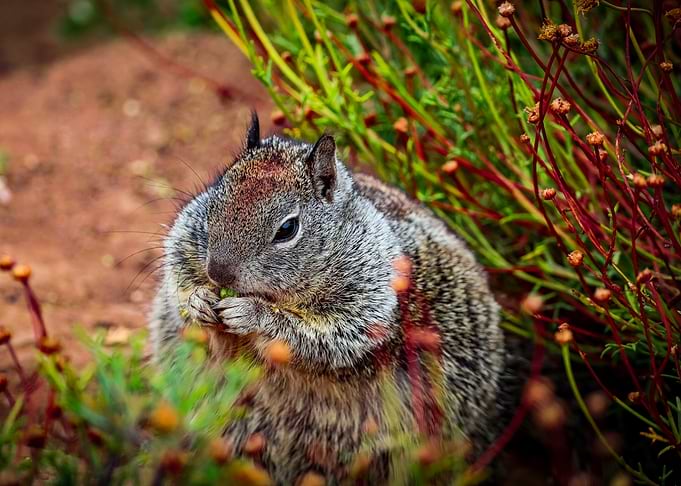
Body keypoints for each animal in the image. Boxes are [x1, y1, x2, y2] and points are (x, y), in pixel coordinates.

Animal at [149, 113, 508, 484]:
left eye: (287, 229)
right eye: (215, 198)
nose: (219, 273)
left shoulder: (369, 300)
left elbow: (329, 337)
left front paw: (251, 313)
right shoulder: (184, 238)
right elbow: (179, 274)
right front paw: (198, 300)